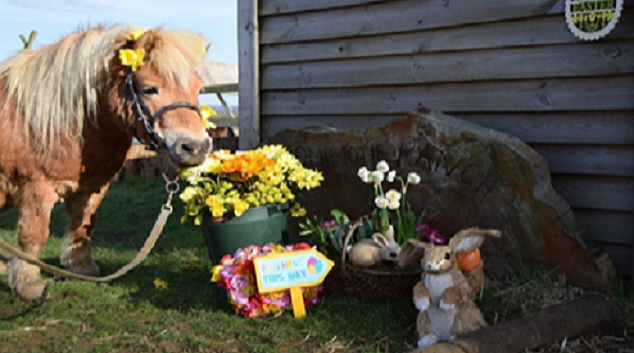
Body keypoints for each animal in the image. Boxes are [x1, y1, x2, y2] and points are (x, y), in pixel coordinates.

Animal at [0, 24, 212, 300]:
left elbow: (83, 226)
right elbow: (33, 234)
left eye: (198, 88)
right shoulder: (36, 188)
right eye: (149, 89)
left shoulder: (91, 188)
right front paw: (28, 284)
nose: (195, 148)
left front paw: (81, 267)